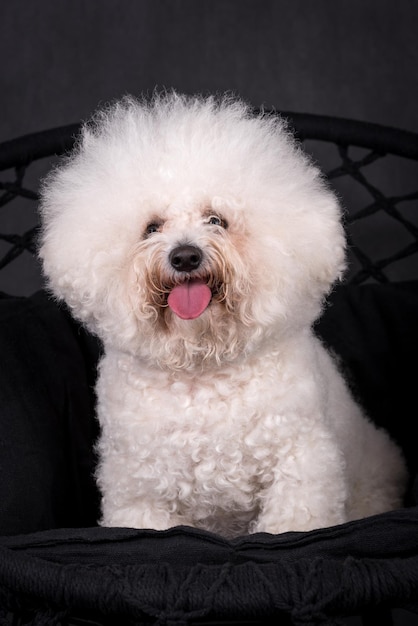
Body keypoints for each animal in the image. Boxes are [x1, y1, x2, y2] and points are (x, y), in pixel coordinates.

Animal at [37, 90, 406, 532]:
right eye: (152, 228)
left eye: (217, 220)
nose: (185, 256)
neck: (202, 366)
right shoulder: (140, 489)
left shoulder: (299, 468)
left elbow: (290, 524)